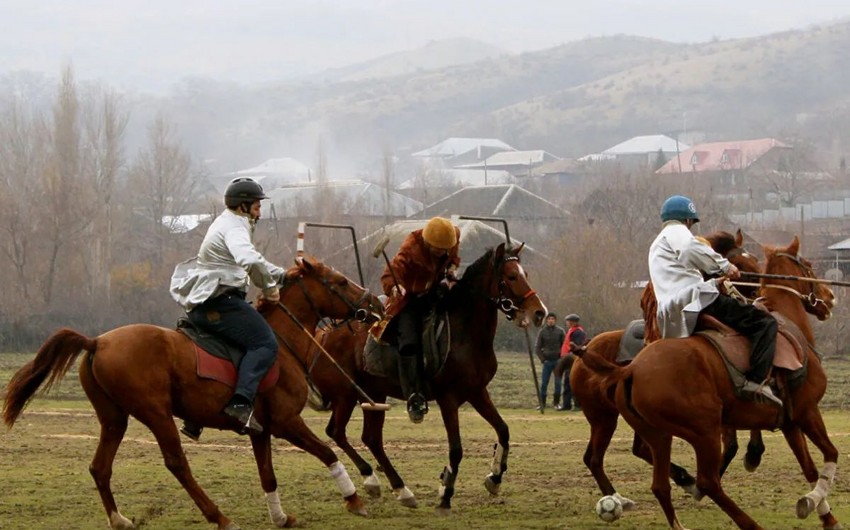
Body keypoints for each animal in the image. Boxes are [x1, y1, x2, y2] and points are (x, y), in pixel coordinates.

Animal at [3, 253, 384, 528]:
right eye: (339, 282)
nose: (376, 305)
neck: (282, 342)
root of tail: (97, 341)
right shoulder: (286, 422)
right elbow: (327, 453)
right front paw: (357, 497)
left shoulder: (260, 430)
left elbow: (268, 475)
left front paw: (280, 516)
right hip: (156, 413)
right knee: (177, 463)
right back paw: (219, 517)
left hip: (114, 419)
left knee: (100, 467)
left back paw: (120, 519)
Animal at [302, 242, 548, 512]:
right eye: (511, 276)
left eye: (526, 274)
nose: (539, 312)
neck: (465, 333)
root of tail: (322, 335)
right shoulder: (448, 399)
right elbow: (456, 449)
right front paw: (445, 492)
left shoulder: (477, 392)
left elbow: (503, 430)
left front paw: (494, 477)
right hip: (346, 395)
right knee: (337, 432)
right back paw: (372, 478)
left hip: (373, 396)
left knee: (371, 438)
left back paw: (400, 489)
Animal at [576, 235, 836, 528]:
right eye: (809, 267)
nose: (830, 298)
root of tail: (629, 370)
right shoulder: (807, 411)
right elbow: (830, 455)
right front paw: (810, 501)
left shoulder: (790, 422)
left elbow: (810, 468)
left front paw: (825, 515)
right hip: (692, 429)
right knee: (706, 481)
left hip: (658, 434)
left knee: (658, 482)